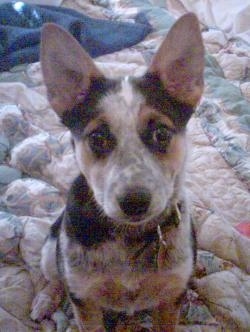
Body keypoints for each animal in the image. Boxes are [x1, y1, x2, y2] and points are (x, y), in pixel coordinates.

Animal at [31, 13, 204, 332]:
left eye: (161, 134)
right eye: (98, 138)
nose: (135, 202)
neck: (130, 238)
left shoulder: (170, 299)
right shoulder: (85, 302)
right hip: (51, 247)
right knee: (55, 277)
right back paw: (45, 300)